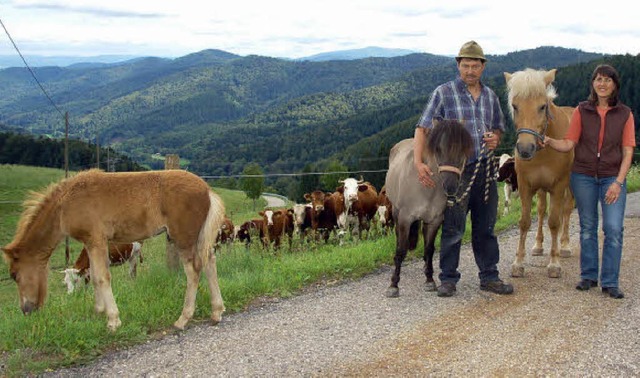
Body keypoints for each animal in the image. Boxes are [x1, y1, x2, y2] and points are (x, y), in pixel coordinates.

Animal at [1, 168, 228, 330]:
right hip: (199, 236)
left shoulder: (97, 240)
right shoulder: (90, 243)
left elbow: (102, 277)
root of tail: (207, 189)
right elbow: (94, 277)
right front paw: (98, 311)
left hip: (183, 237)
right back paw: (217, 311)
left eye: (14, 275)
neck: (64, 205)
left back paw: (183, 318)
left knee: (193, 271)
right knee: (209, 261)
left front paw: (113, 320)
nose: (26, 310)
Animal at [382, 119, 472, 296]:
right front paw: (394, 284)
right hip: (396, 212)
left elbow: (429, 249)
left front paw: (430, 280)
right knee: (398, 239)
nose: (450, 186)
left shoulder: (434, 220)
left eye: (464, 149)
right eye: (438, 149)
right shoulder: (405, 219)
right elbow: (401, 250)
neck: (425, 188)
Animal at [504, 68, 576, 278]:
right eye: (515, 106)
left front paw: (554, 263)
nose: (525, 149)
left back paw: (565, 246)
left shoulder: (559, 186)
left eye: (542, 107)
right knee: (543, 210)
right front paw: (519, 263)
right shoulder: (526, 186)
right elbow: (525, 221)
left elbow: (554, 222)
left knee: (566, 210)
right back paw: (537, 245)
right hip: (543, 189)